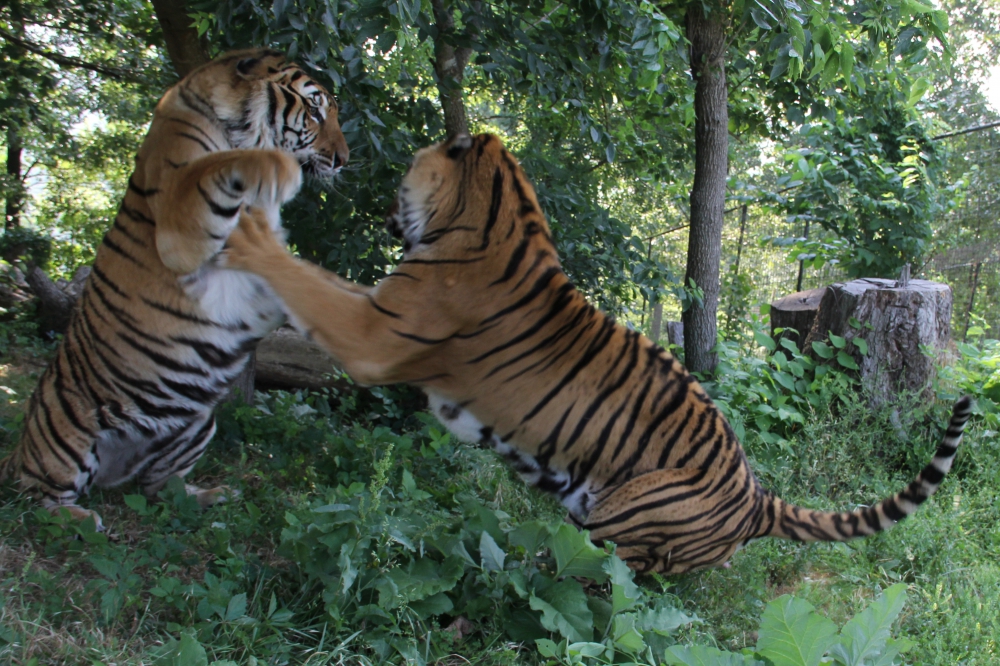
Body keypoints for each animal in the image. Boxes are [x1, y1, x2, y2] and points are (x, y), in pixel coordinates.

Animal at [0, 49, 350, 528]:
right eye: (315, 110)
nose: (343, 159)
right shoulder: (182, 223)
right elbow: (221, 167)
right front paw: (281, 169)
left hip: (197, 423)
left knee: (158, 488)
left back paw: (211, 495)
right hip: (68, 441)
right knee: (36, 497)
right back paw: (78, 517)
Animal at [225, 132, 968, 572]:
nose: (378, 201)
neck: (493, 212)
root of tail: (758, 497)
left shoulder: (375, 334)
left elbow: (304, 283)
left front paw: (249, 232)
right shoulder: (374, 315)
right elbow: (315, 284)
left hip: (619, 515)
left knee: (612, 578)